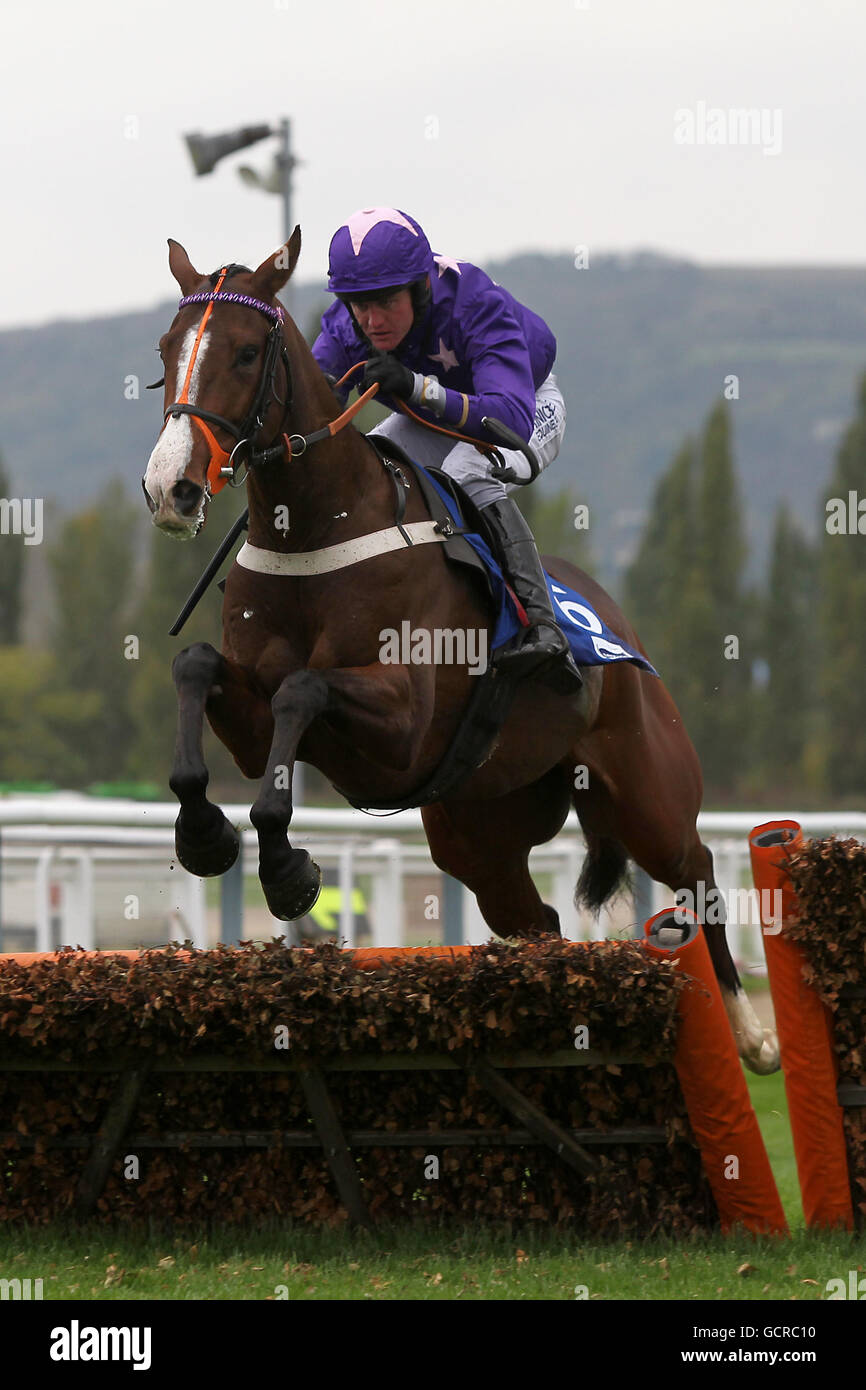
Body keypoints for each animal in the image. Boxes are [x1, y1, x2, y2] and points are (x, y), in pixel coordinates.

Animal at [140, 227, 778, 1073]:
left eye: (246, 352)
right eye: (166, 348)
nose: (170, 489)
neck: (317, 528)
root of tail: (618, 624)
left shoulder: (402, 722)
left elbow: (303, 689)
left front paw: (286, 868)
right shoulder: (250, 720)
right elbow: (198, 669)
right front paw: (206, 834)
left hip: (647, 790)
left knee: (699, 870)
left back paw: (752, 1035)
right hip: (480, 833)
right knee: (540, 921)